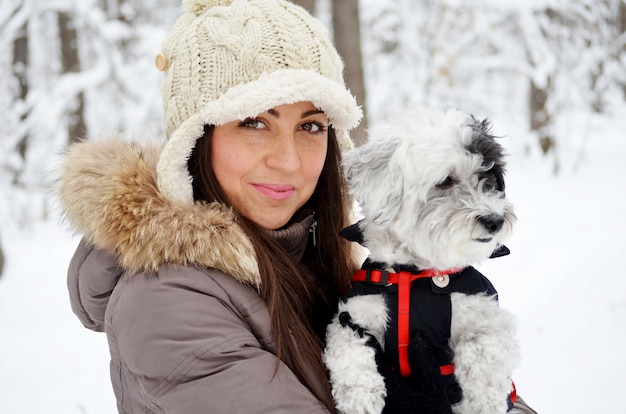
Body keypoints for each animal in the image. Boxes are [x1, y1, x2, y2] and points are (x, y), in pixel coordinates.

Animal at [324, 107, 520, 414]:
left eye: (488, 179)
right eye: (446, 180)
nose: (495, 220)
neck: (416, 273)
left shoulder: (486, 315)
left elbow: (484, 350)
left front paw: (481, 401)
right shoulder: (352, 319)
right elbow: (350, 354)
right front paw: (360, 400)